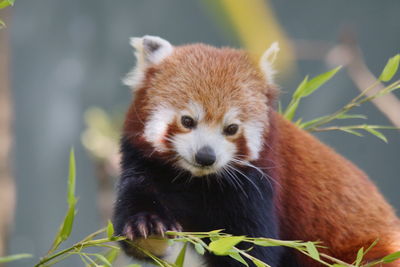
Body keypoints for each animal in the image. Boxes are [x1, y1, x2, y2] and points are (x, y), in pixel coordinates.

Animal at [113, 36, 400, 267]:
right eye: (187, 121)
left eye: (231, 128)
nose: (205, 156)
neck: (195, 182)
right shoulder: (143, 164)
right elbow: (138, 211)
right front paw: (148, 227)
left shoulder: (257, 186)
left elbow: (252, 250)